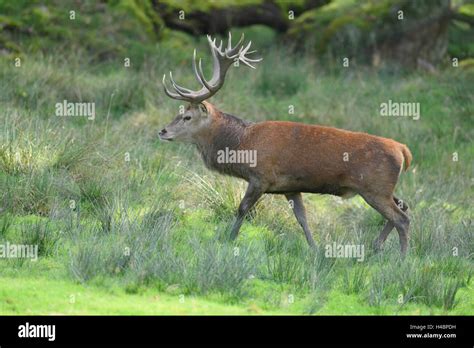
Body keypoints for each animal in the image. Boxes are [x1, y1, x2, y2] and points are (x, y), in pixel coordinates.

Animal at [158, 32, 412, 256]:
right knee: (404, 205)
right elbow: (302, 218)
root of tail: (403, 151)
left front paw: (228, 240)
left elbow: (242, 209)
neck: (242, 144)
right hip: (381, 188)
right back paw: (376, 246)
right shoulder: (290, 187)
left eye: (187, 117)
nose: (162, 131)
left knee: (402, 218)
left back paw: (401, 259)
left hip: (374, 187)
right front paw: (315, 249)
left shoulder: (260, 177)